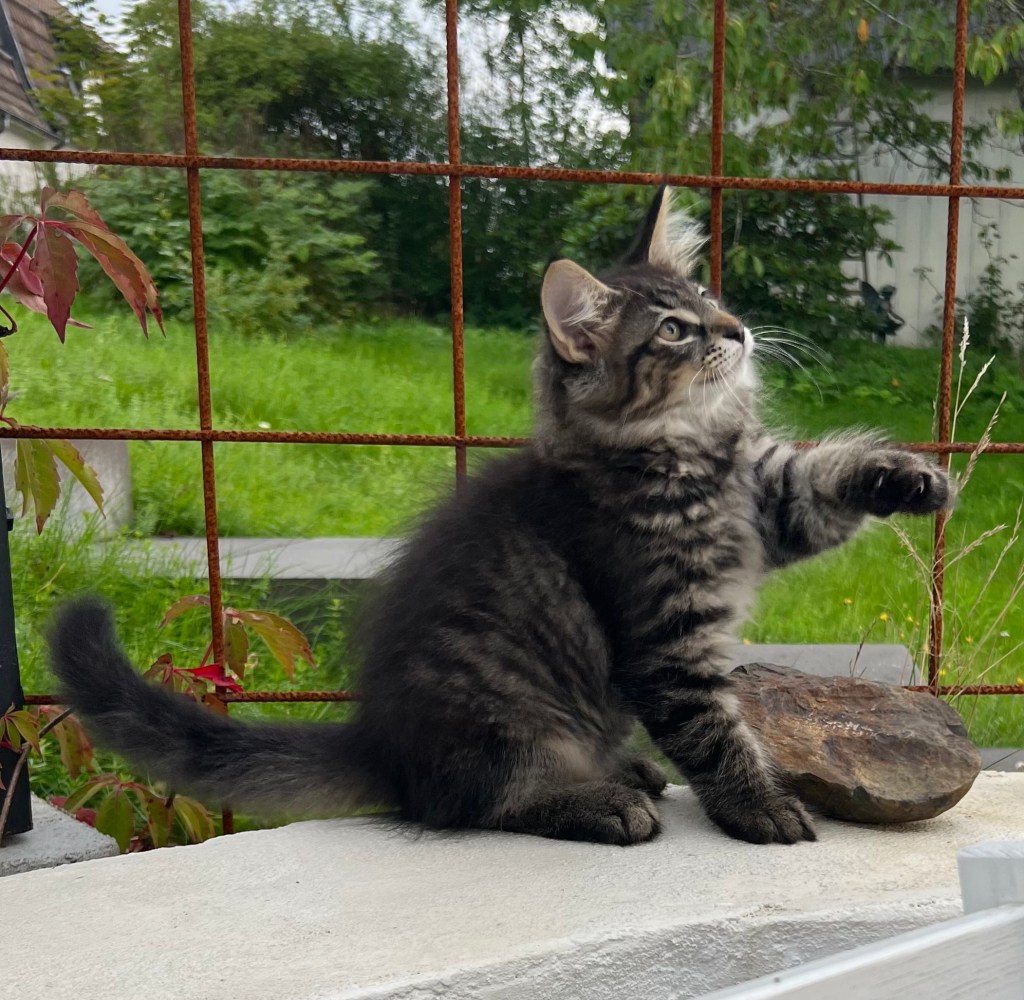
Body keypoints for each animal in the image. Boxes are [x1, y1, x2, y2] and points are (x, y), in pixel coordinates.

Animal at [48, 186, 950, 846]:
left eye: (709, 297)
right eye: (672, 330)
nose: (739, 330)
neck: (691, 454)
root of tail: (382, 743)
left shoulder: (772, 503)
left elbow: (824, 477)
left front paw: (911, 481)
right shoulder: (664, 639)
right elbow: (713, 731)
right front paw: (758, 809)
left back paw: (623, 772)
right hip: (507, 720)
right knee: (477, 804)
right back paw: (599, 801)